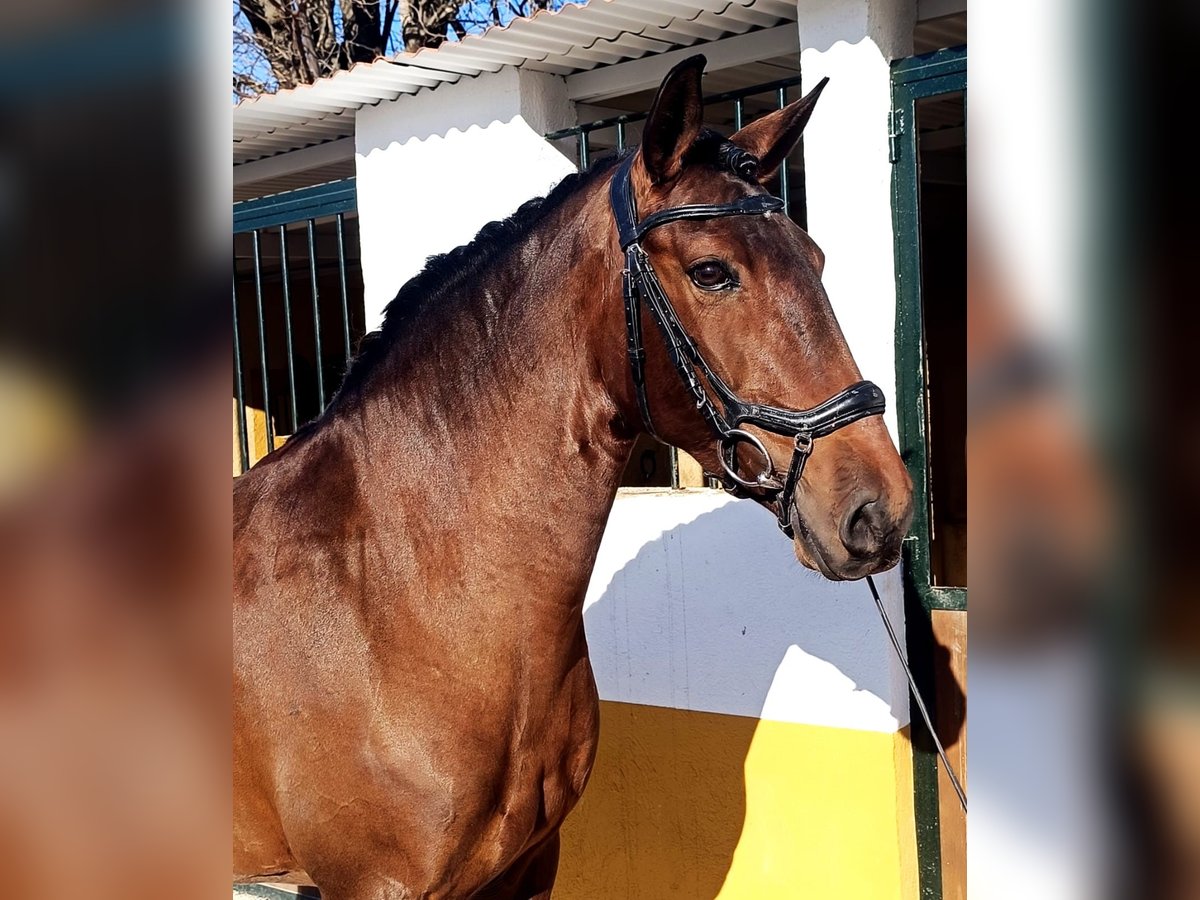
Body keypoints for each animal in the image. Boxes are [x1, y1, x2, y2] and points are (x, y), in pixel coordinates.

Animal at [231, 58, 907, 900]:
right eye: (711, 271)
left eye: (814, 261)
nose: (879, 509)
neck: (392, 588)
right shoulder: (376, 885)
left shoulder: (529, 867)